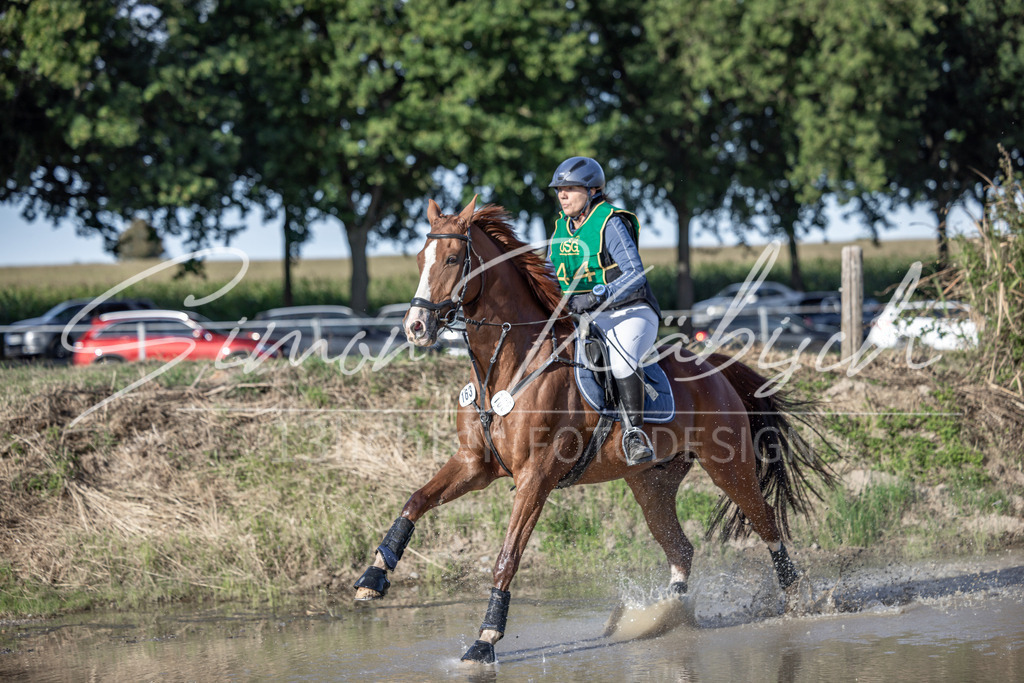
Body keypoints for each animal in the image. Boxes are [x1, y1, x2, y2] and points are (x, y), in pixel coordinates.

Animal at [353, 197, 836, 664]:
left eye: (453, 258)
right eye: (421, 258)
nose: (415, 328)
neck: (509, 365)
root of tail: (715, 368)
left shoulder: (536, 478)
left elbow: (507, 558)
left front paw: (485, 639)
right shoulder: (475, 465)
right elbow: (415, 501)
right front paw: (373, 576)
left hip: (729, 468)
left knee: (767, 523)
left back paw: (796, 601)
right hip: (651, 484)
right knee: (680, 548)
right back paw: (667, 614)